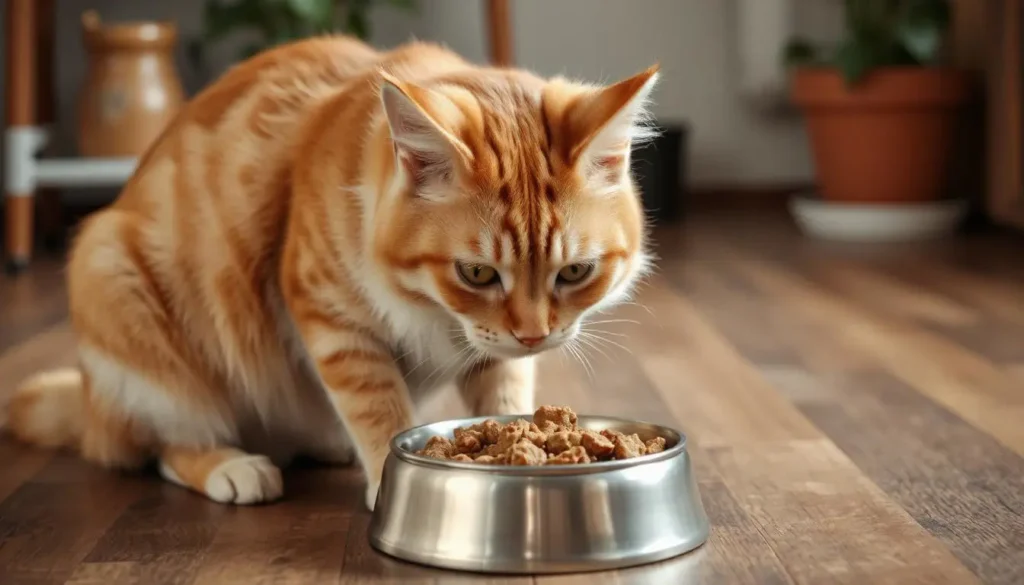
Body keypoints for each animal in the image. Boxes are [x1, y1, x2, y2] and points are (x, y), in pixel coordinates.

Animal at [6, 35, 655, 508]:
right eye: (476, 273)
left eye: (574, 272)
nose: (533, 335)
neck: (432, 311)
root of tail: (90, 407)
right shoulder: (328, 315)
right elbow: (376, 405)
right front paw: (384, 477)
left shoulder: (494, 354)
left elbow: (504, 392)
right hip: (123, 294)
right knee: (167, 446)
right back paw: (234, 467)